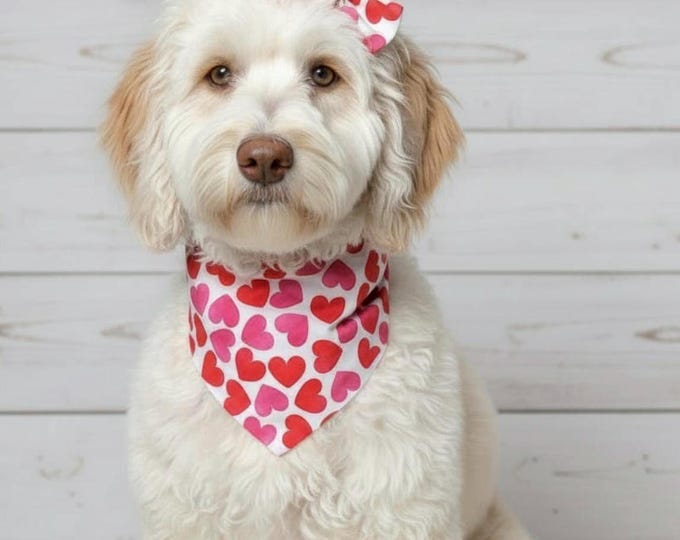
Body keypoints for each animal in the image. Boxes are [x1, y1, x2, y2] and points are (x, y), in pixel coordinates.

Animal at [102, 0, 531, 538]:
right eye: (218, 74)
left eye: (324, 74)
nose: (264, 157)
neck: (278, 295)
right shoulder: (186, 512)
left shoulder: (401, 509)